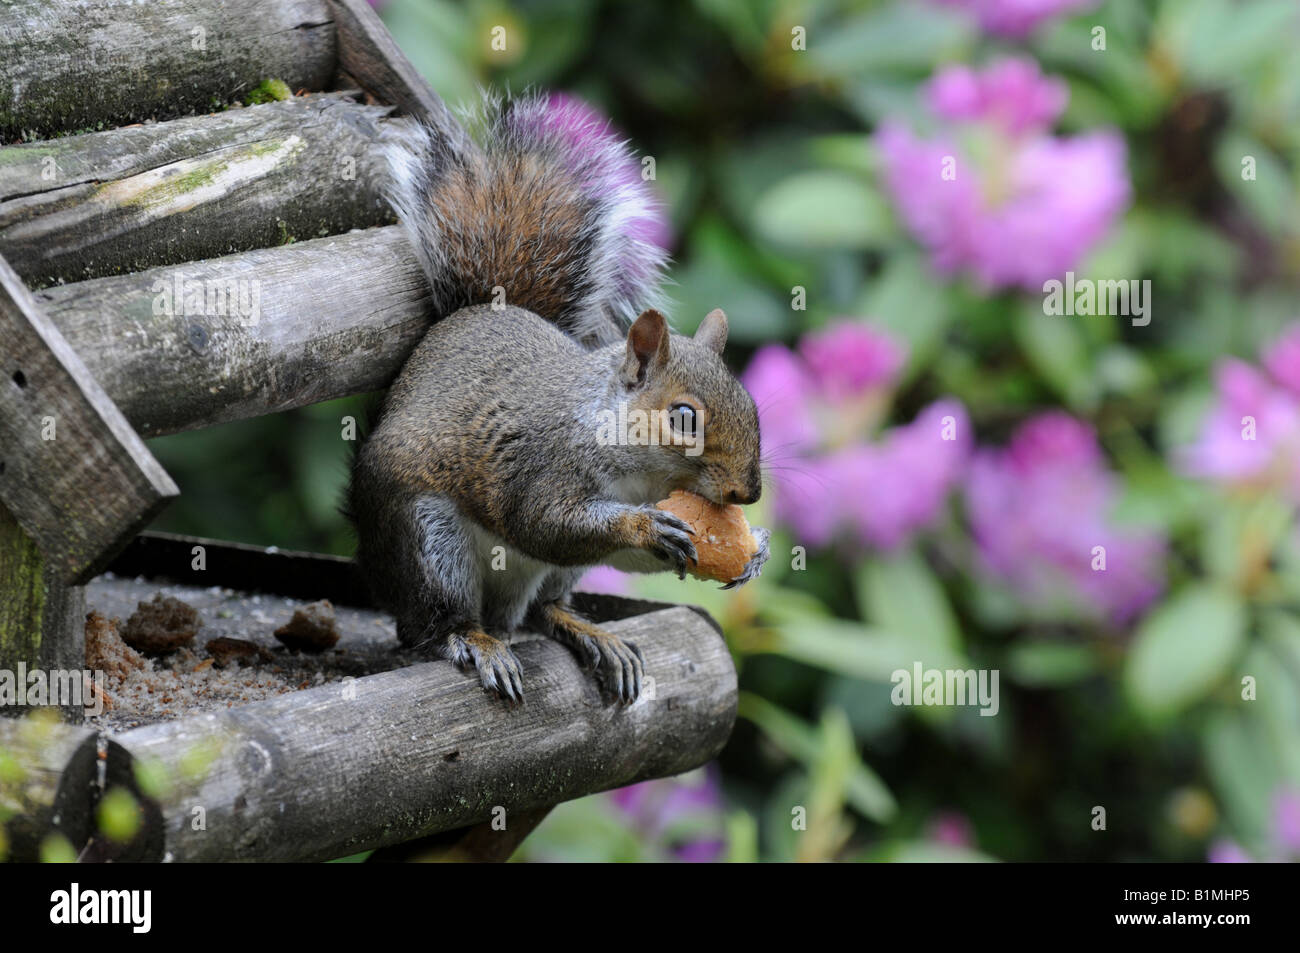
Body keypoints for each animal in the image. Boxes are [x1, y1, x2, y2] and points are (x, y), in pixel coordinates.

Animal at [351, 92, 764, 702]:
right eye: (684, 417)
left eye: (754, 407)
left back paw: (587, 631)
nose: (749, 493)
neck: (643, 476)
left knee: (538, 611)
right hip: (430, 539)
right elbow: (546, 523)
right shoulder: (543, 466)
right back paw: (473, 641)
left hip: (546, 575)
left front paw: (756, 551)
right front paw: (646, 525)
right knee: (431, 624)